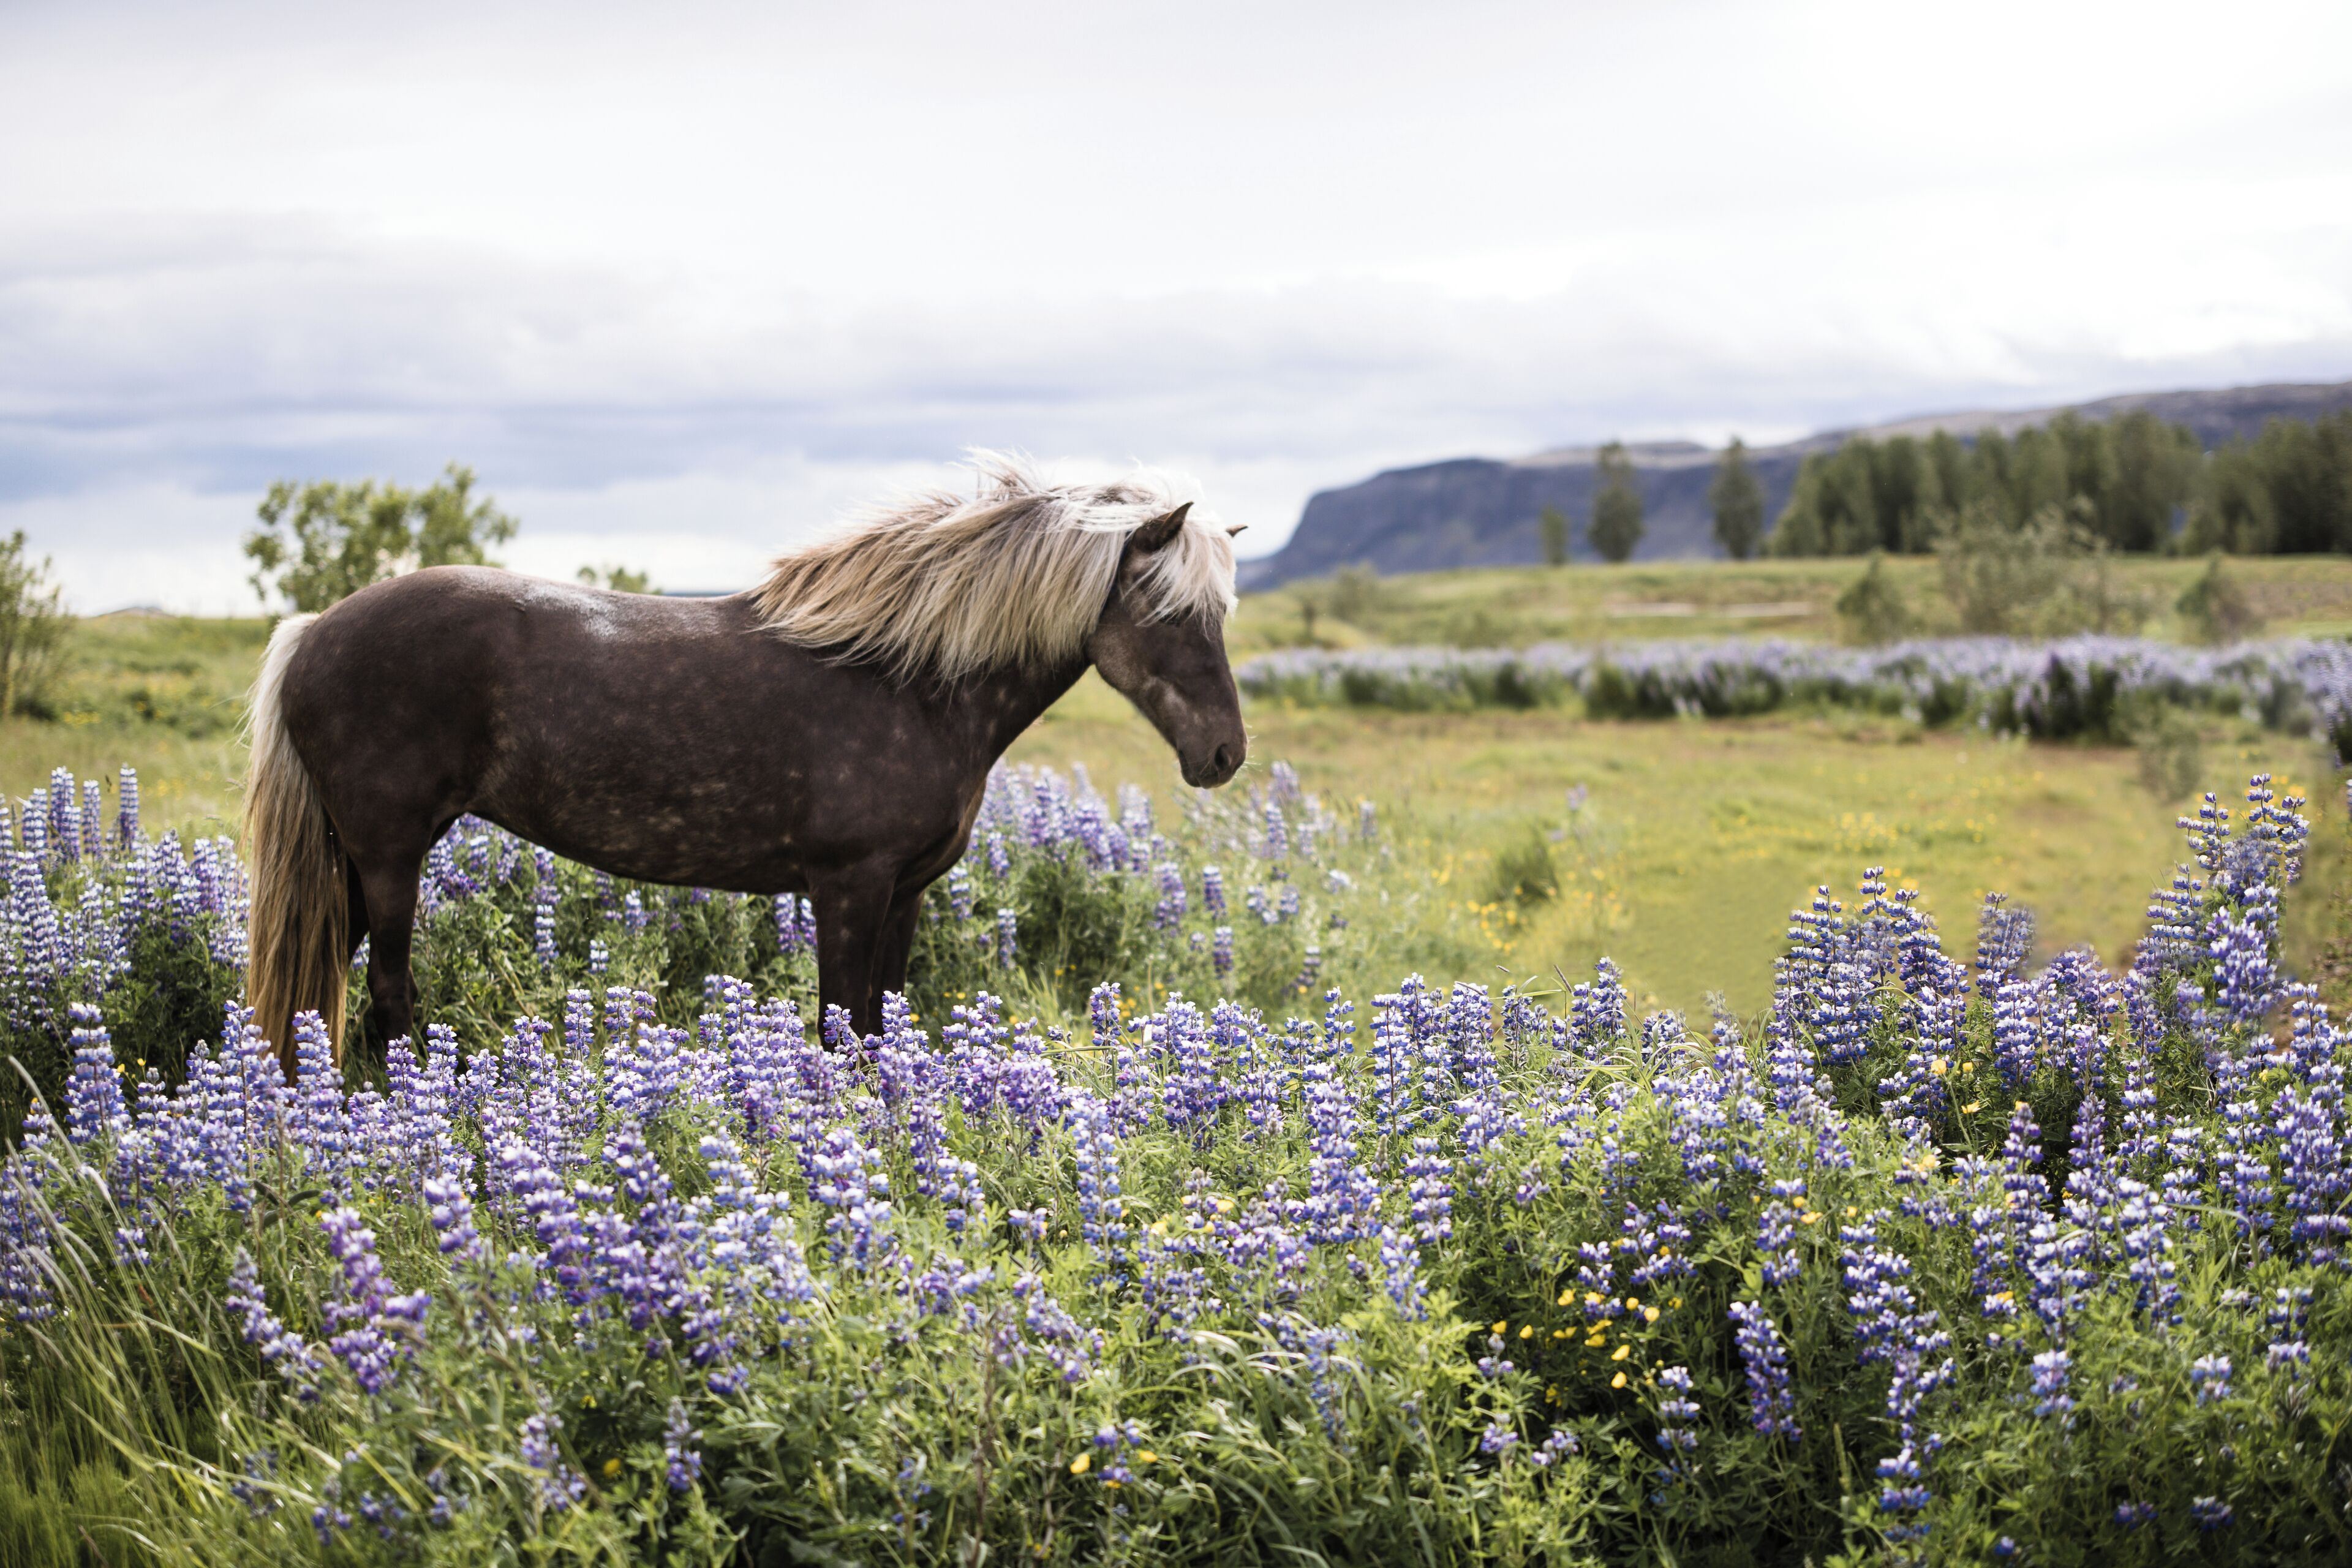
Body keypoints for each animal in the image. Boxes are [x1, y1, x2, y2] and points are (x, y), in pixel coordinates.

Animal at [241, 457, 1248, 1072]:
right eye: (1168, 613)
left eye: (1220, 614)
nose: (1224, 754)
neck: (907, 680)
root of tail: (314, 631)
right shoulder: (849, 887)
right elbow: (842, 1028)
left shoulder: (906, 893)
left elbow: (880, 1023)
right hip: (389, 857)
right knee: (387, 993)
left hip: (359, 863)